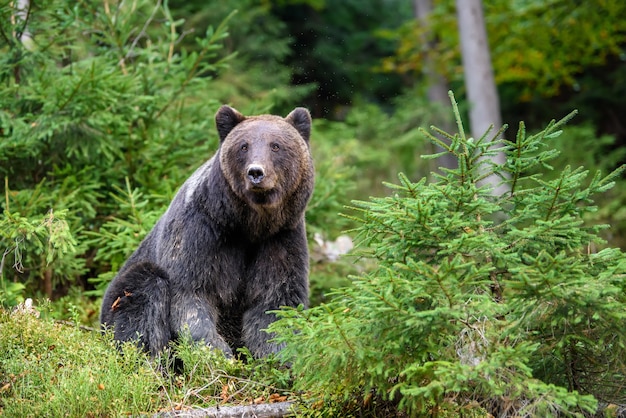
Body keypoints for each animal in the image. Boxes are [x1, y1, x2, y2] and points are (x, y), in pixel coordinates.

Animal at [100, 104, 314, 356]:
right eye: (244, 146)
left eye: (276, 145)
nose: (256, 172)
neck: (249, 225)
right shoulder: (201, 232)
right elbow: (191, 294)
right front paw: (217, 351)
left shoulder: (281, 240)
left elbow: (273, 305)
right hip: (118, 299)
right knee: (142, 292)